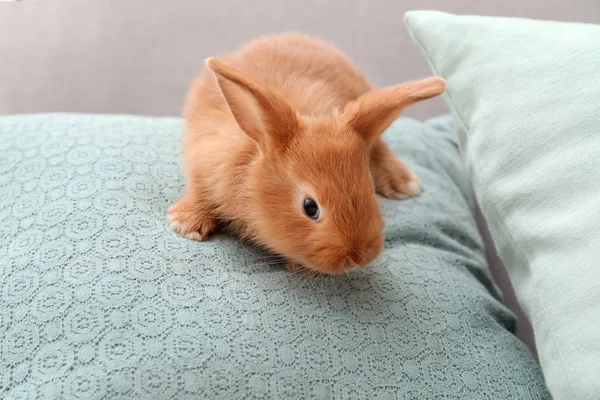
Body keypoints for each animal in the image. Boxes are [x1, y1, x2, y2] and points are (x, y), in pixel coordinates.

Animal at [169, 33, 446, 276]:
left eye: (370, 192)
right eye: (310, 207)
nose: (356, 258)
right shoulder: (205, 162)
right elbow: (200, 191)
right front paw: (186, 225)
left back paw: (404, 184)